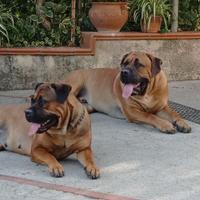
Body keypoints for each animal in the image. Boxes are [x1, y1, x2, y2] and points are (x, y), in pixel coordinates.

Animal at [63, 50, 191, 134]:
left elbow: (174, 113)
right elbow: (149, 115)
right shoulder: (132, 111)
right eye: (124, 63)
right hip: (77, 80)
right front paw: (165, 124)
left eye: (139, 64)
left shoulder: (161, 108)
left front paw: (183, 123)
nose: (124, 72)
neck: (147, 94)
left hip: (88, 107)